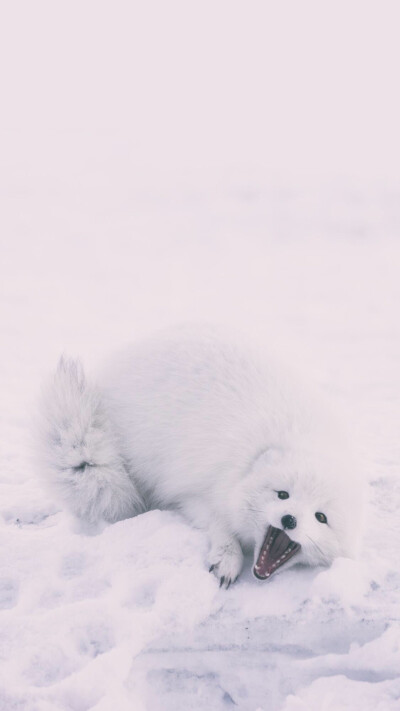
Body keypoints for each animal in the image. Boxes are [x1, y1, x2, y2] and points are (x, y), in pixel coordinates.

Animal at [37, 326, 362, 588]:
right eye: (282, 494)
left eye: (321, 517)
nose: (289, 519)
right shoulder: (195, 492)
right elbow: (219, 523)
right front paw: (227, 559)